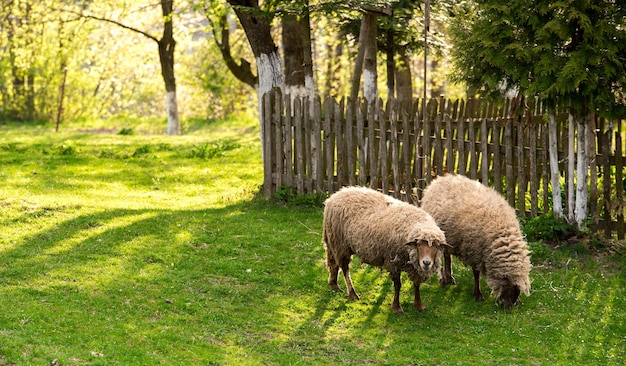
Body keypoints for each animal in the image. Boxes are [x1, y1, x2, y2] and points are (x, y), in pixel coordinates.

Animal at [416, 174, 528, 308]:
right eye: (506, 283)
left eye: (517, 289)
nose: (507, 306)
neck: (502, 233)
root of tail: (440, 179)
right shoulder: (474, 250)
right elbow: (476, 274)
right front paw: (478, 294)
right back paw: (444, 279)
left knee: (447, 257)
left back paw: (449, 278)